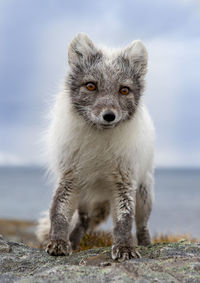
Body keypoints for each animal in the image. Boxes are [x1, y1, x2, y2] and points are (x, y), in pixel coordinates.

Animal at [36, 33, 155, 262]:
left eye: (124, 90)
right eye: (91, 86)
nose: (109, 116)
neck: (99, 144)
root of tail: (100, 193)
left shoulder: (123, 181)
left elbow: (125, 219)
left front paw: (125, 247)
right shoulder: (70, 177)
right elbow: (59, 212)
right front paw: (58, 243)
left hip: (144, 195)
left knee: (142, 225)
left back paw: (146, 244)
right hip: (85, 199)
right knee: (83, 221)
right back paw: (73, 242)